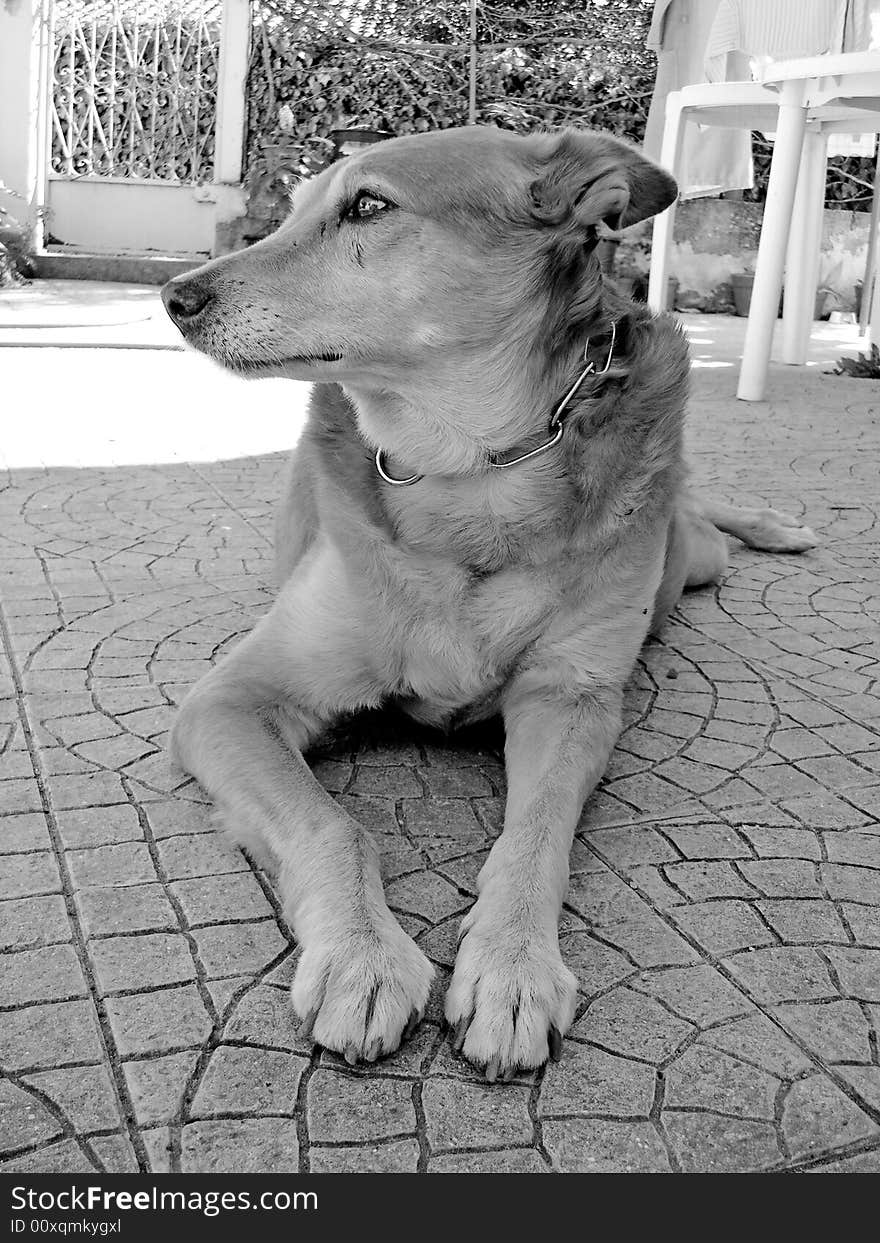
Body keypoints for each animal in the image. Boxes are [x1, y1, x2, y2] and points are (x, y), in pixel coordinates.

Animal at [162, 126, 820, 1078]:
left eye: (368, 205)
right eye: (290, 211)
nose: (174, 296)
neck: (470, 473)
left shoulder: (572, 698)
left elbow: (535, 834)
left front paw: (512, 966)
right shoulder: (229, 702)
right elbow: (334, 827)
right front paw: (359, 956)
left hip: (687, 562)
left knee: (701, 518)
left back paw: (773, 525)